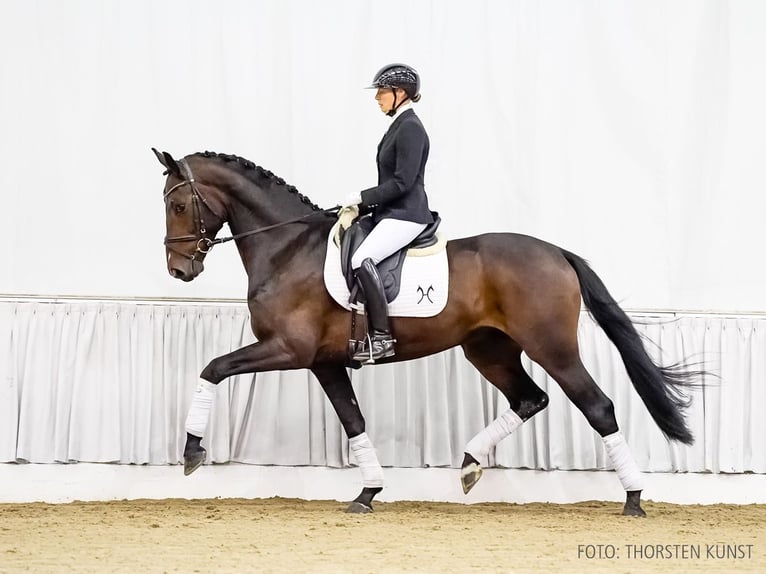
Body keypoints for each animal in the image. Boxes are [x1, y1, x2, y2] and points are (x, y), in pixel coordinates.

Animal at [153, 147, 704, 516]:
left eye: (177, 206)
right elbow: (354, 421)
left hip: (553, 347)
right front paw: (368, 492)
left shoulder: (288, 349)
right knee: (530, 398)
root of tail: (556, 252)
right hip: (488, 349)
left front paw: (192, 451)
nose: (179, 270)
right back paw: (470, 464)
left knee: (598, 406)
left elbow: (213, 368)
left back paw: (633, 498)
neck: (288, 248)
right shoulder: (324, 361)